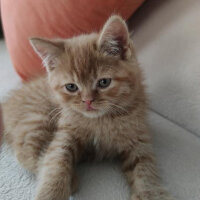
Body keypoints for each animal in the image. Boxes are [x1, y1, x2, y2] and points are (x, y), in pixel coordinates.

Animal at [1, 15, 173, 200]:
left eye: (104, 82)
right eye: (71, 87)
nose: (88, 101)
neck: (102, 121)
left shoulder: (138, 138)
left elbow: (145, 169)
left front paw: (150, 193)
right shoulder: (65, 132)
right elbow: (55, 160)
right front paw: (52, 191)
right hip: (38, 116)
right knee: (25, 152)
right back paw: (72, 179)